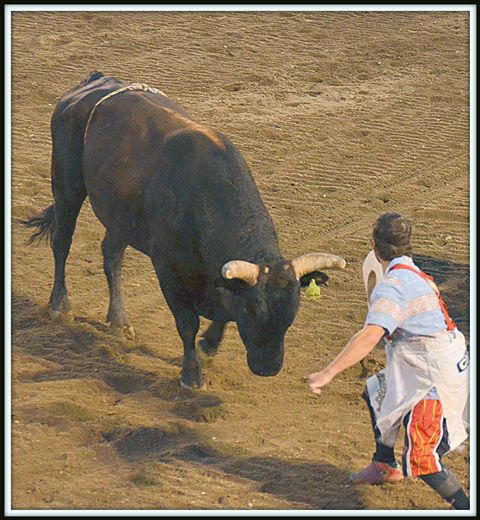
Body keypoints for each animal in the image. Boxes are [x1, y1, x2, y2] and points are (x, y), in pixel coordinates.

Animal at [23, 72, 344, 390]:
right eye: (251, 311)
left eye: (292, 313)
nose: (268, 368)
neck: (201, 197)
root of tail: (94, 82)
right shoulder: (168, 271)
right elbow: (188, 323)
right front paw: (192, 373)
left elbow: (221, 313)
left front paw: (208, 348)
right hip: (67, 186)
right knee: (62, 242)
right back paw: (60, 305)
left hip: (120, 217)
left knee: (111, 255)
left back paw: (119, 322)